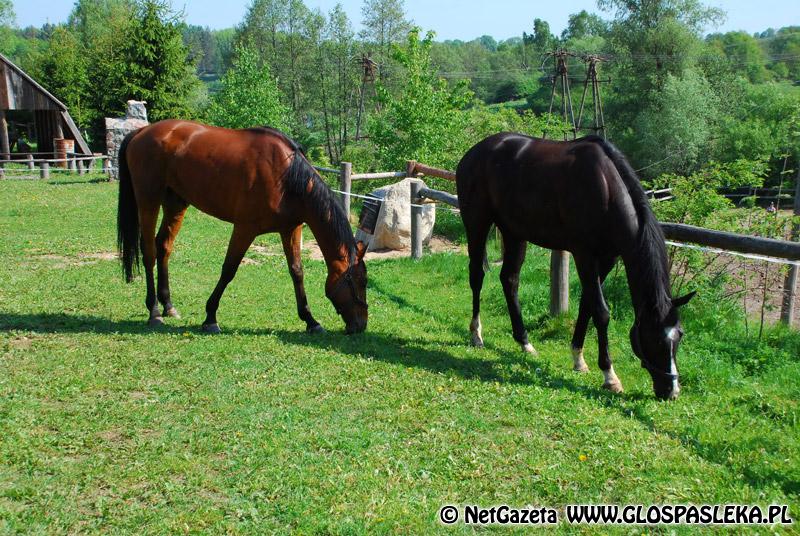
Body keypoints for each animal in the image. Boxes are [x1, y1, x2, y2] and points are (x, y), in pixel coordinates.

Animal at [115, 119, 368, 332]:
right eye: (360, 282)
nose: (361, 325)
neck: (286, 177)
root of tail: (141, 131)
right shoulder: (244, 229)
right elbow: (229, 270)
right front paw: (210, 317)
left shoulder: (290, 229)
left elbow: (297, 271)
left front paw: (310, 320)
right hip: (148, 200)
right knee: (149, 252)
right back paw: (154, 311)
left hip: (176, 203)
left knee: (163, 246)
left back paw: (168, 305)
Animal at [456, 133, 692, 400]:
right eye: (655, 339)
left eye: (679, 336)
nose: (671, 391)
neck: (605, 188)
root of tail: (474, 152)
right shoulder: (584, 255)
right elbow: (601, 312)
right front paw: (609, 376)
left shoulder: (607, 258)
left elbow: (586, 306)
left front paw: (578, 359)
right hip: (477, 224)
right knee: (477, 276)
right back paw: (476, 334)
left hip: (514, 233)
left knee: (510, 280)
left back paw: (525, 342)